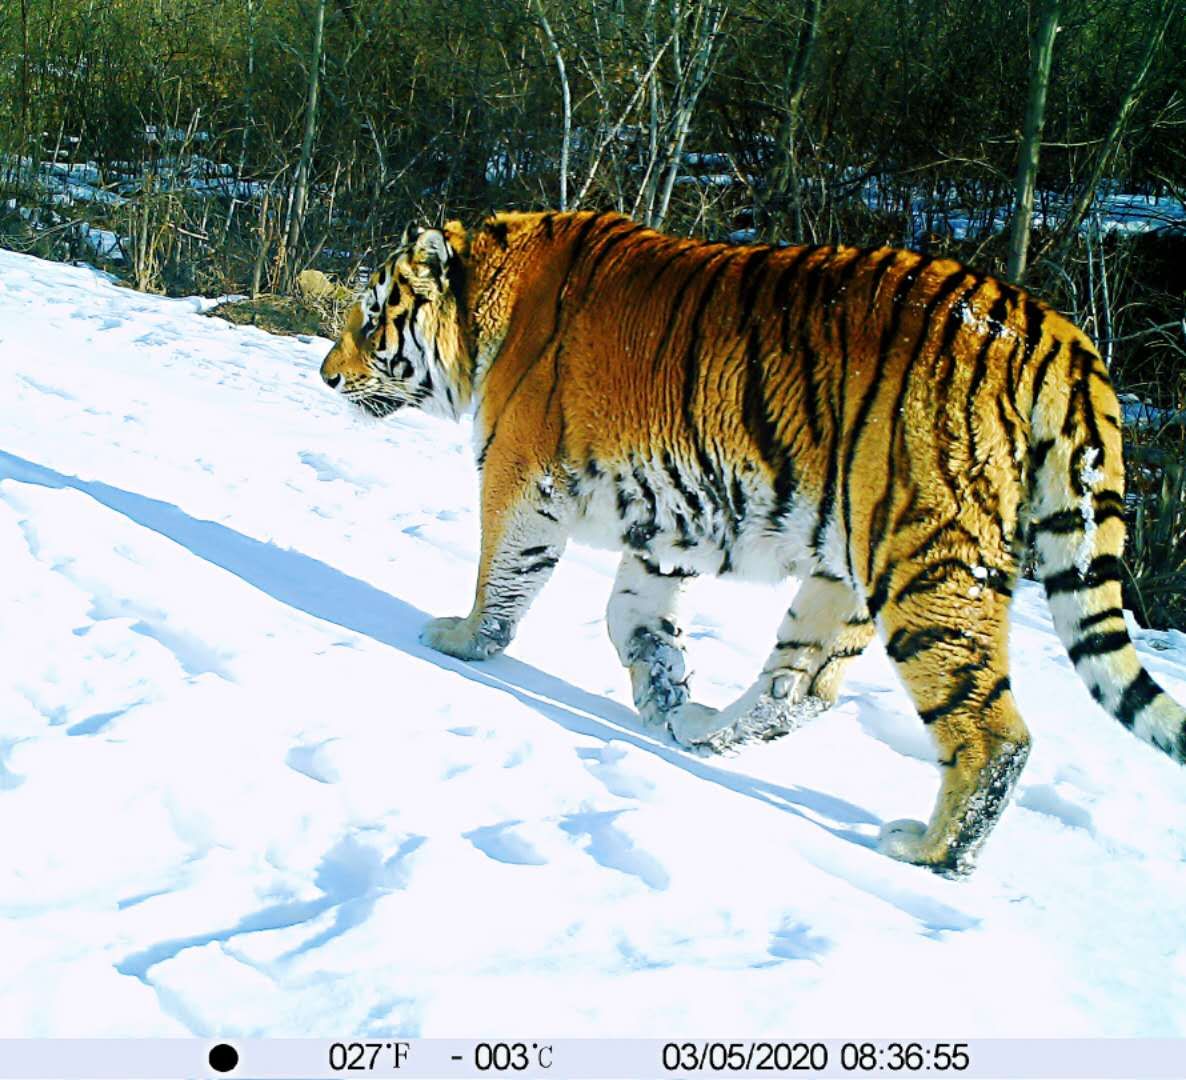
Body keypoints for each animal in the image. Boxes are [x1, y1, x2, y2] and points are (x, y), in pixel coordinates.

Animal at [317, 208, 1186, 877]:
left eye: (370, 315)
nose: (325, 375)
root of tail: (1060, 333)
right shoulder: (665, 519)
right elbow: (633, 619)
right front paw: (662, 697)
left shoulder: (520, 476)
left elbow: (502, 576)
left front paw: (461, 640)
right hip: (846, 566)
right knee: (800, 688)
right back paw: (702, 734)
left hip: (926, 561)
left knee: (990, 733)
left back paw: (929, 854)